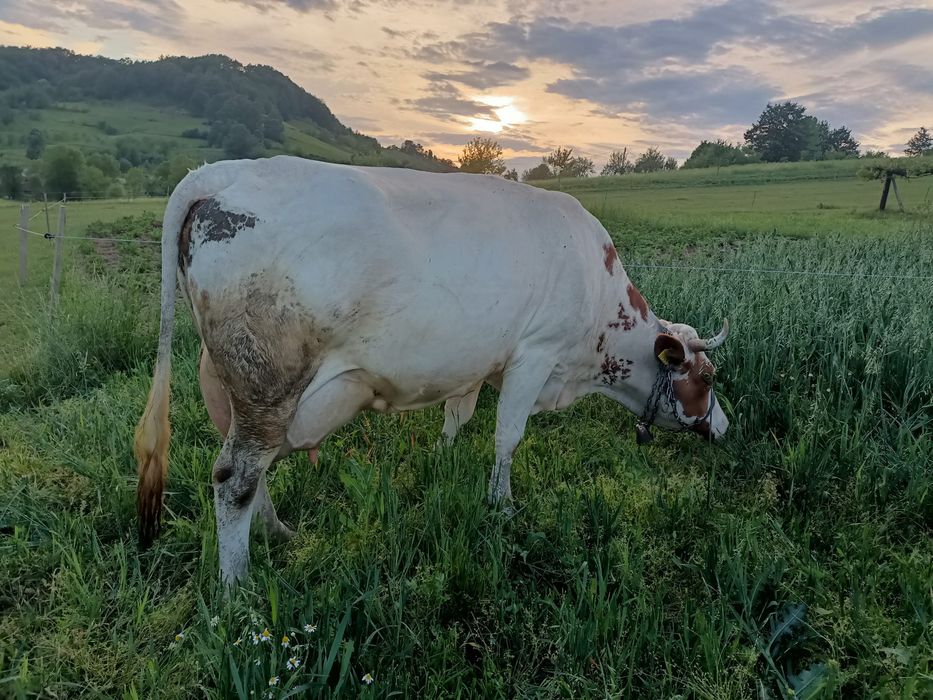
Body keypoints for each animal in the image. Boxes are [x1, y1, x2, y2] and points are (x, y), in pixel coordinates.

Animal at [135, 156, 730, 585]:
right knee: (234, 477)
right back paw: (237, 589)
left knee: (249, 469)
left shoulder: (475, 365)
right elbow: (507, 437)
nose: (724, 427)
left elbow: (457, 419)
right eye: (707, 377)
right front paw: (502, 506)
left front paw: (442, 461)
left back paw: (277, 531)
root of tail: (226, 170)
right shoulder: (534, 355)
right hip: (269, 383)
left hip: (231, 385)